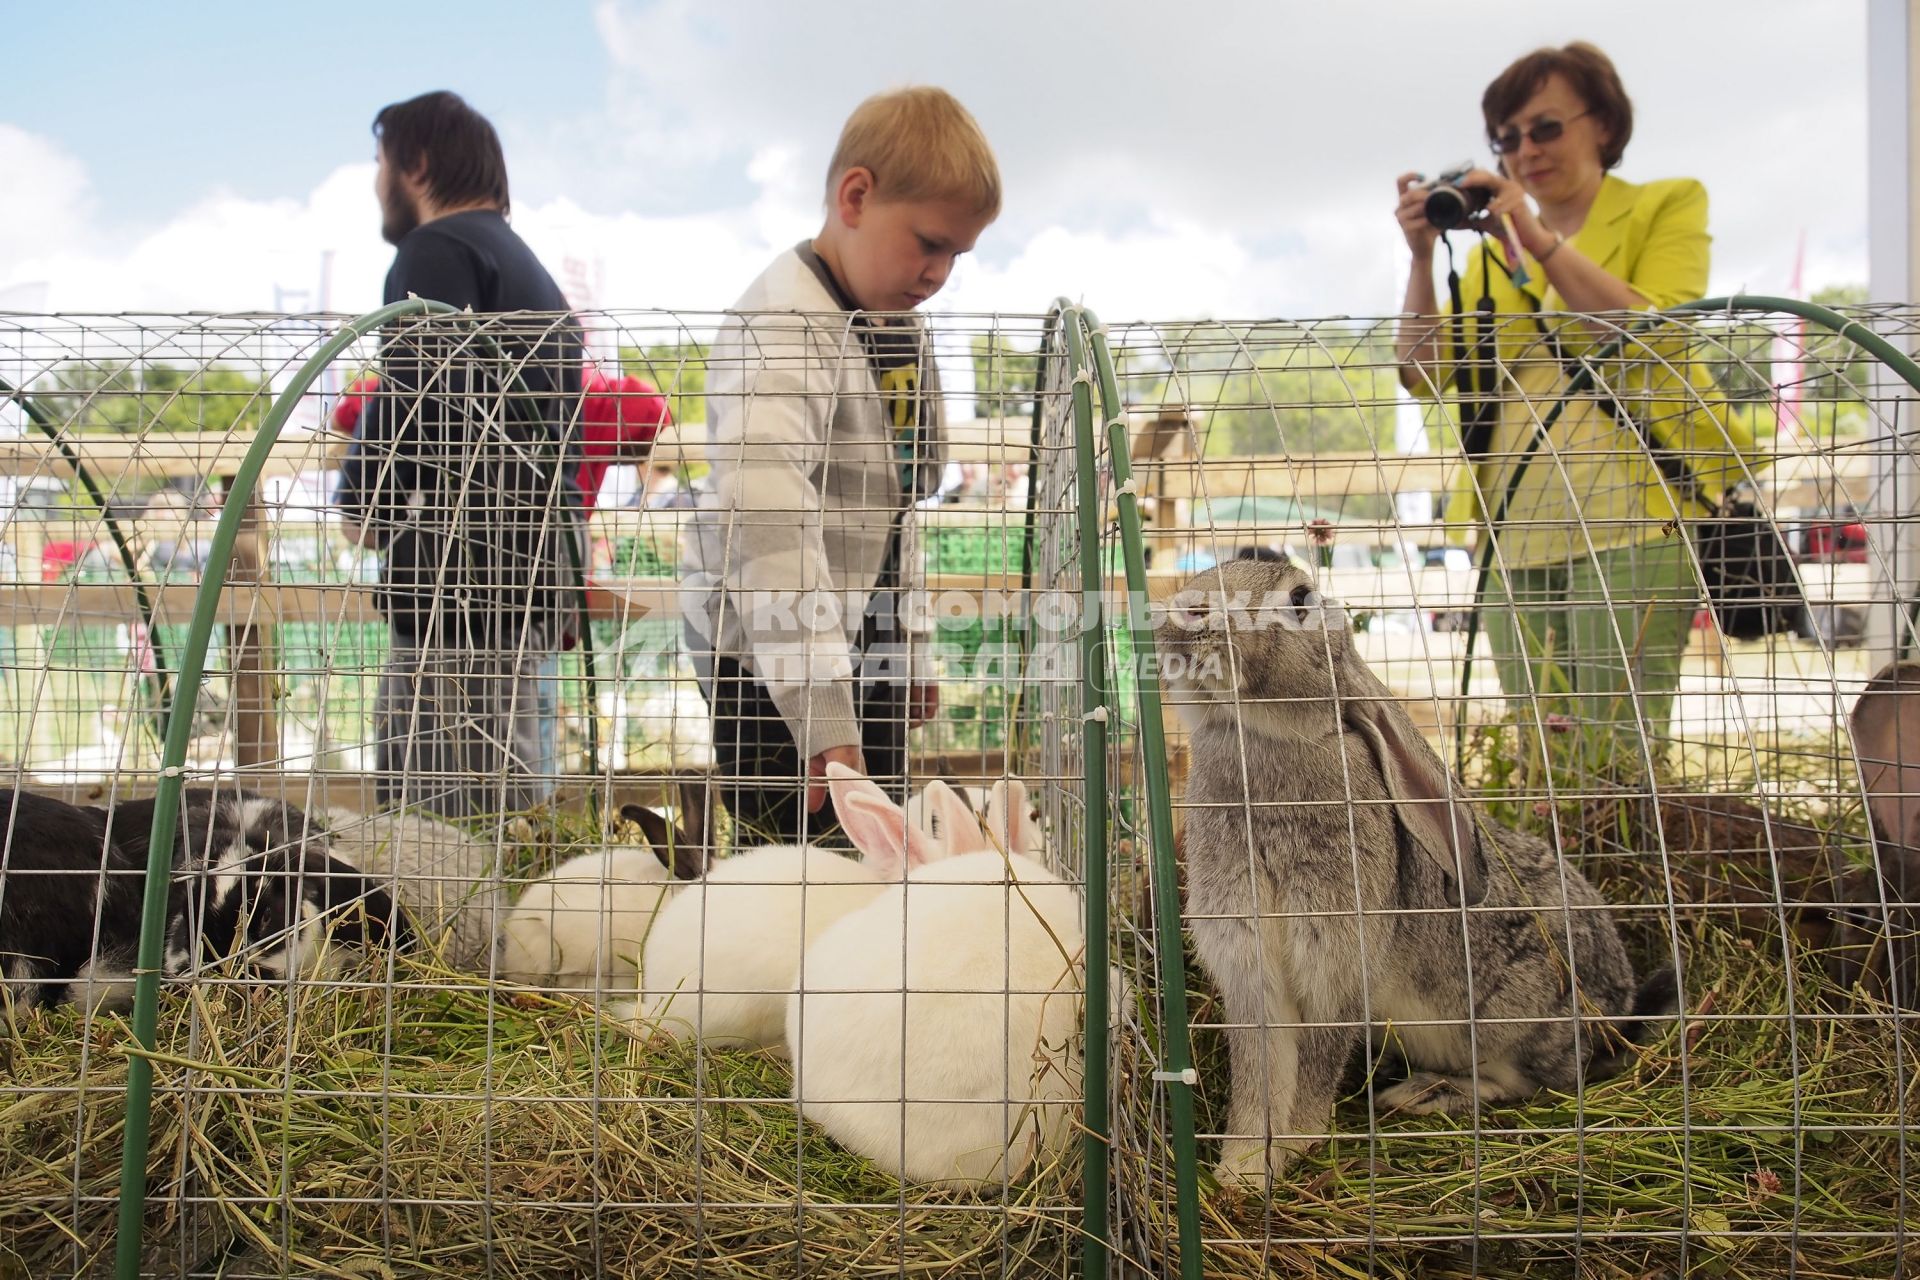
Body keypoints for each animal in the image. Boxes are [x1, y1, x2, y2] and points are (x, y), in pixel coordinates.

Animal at [1159, 560, 1674, 1189]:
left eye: (1301, 599)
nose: (1187, 609)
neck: (1257, 734)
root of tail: (1620, 1011)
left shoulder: (1338, 961)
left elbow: (1315, 1066)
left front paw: (1297, 1144)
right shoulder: (1250, 964)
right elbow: (1261, 1075)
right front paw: (1243, 1169)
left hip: (1506, 1022)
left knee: (1526, 1082)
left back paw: (1422, 1094)